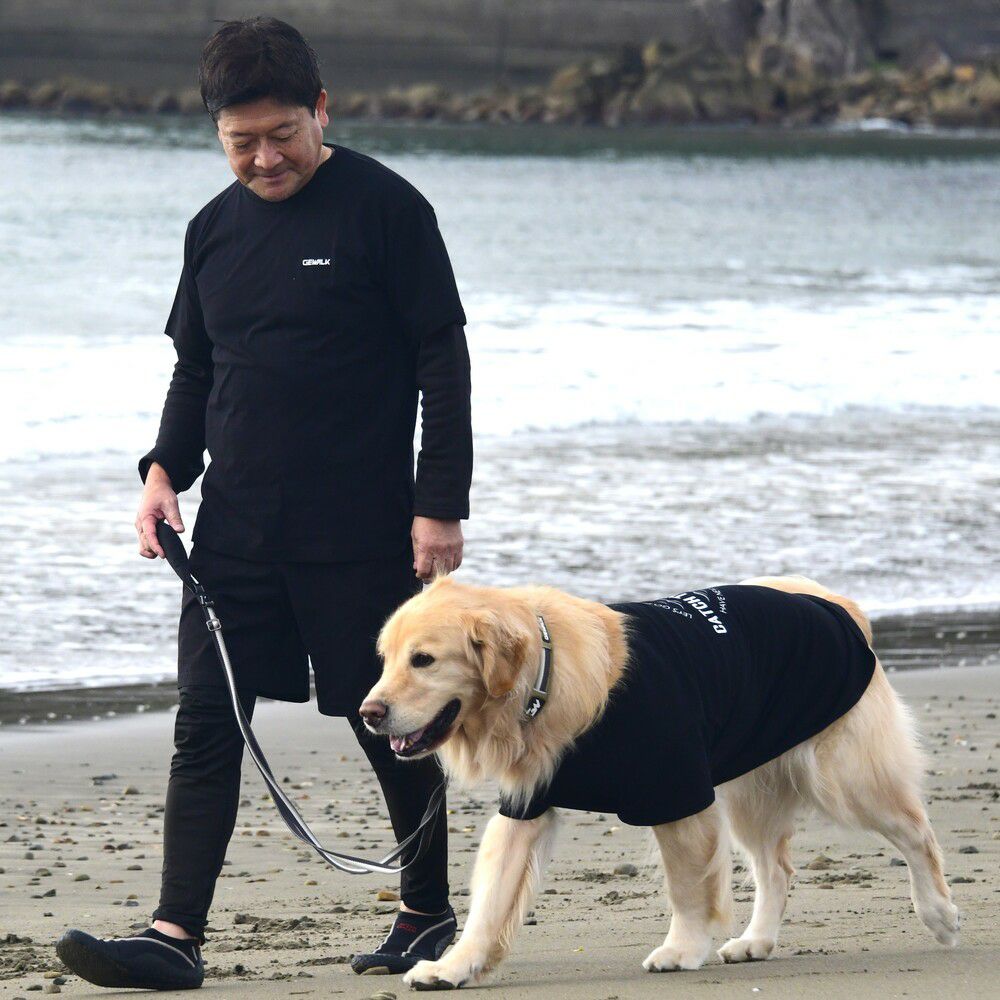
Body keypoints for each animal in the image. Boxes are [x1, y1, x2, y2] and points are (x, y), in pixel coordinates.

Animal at [360, 574, 959, 989]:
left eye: (424, 660)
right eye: (385, 659)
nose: (368, 713)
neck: (542, 680)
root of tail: (833, 602)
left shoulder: (678, 793)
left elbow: (688, 888)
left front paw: (682, 949)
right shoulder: (526, 805)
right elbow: (492, 898)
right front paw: (454, 966)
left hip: (845, 776)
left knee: (917, 832)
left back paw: (939, 913)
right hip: (751, 787)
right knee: (777, 868)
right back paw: (756, 941)